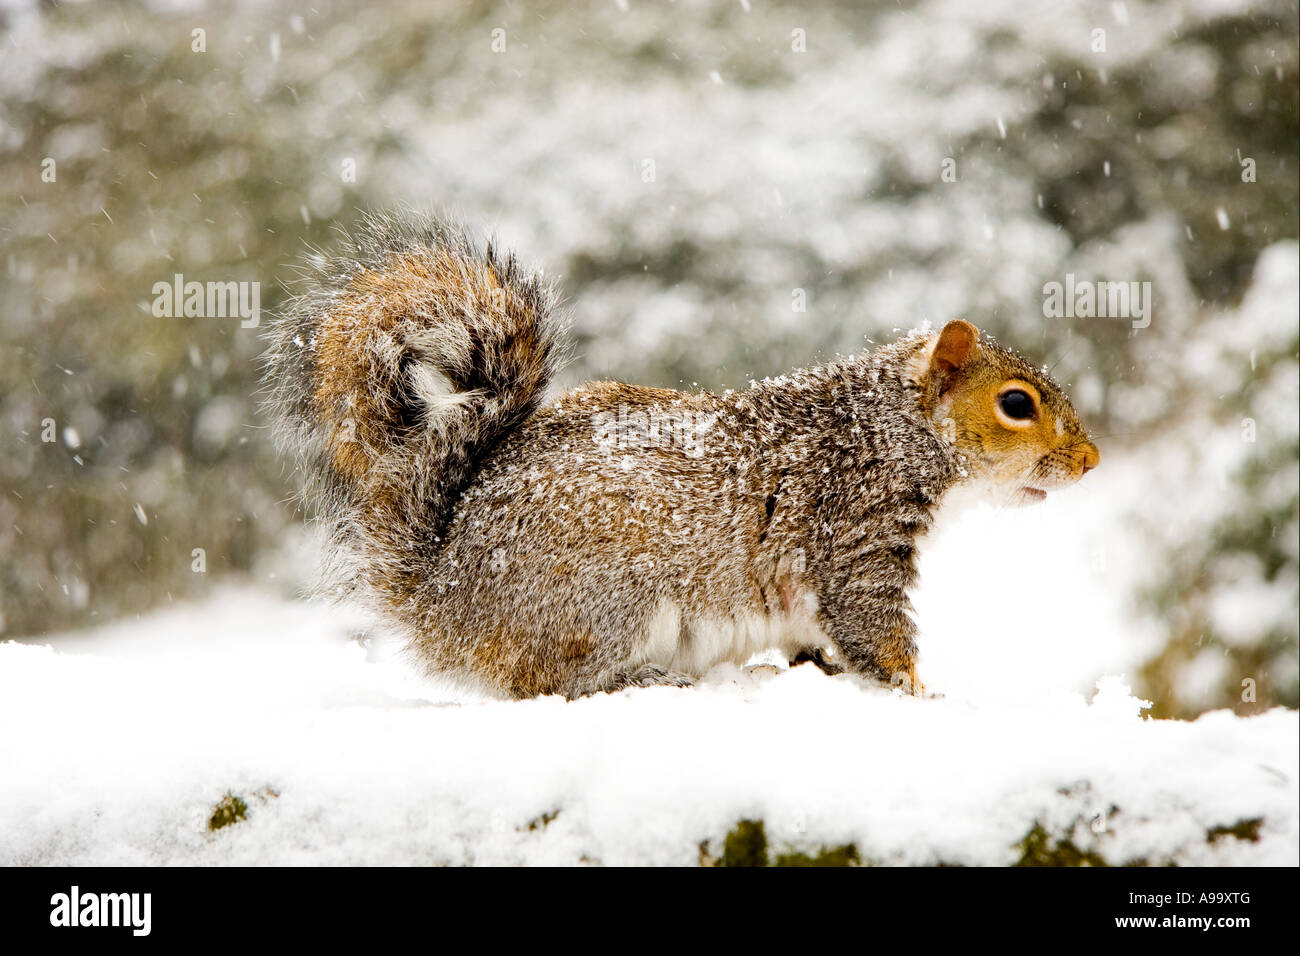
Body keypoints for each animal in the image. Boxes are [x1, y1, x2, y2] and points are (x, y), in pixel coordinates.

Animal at [263, 211, 1099, 700]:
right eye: (1016, 404)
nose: (1091, 461)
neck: (889, 428)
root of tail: (440, 598)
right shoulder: (856, 530)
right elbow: (874, 628)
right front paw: (922, 691)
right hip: (607, 598)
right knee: (551, 682)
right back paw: (646, 678)